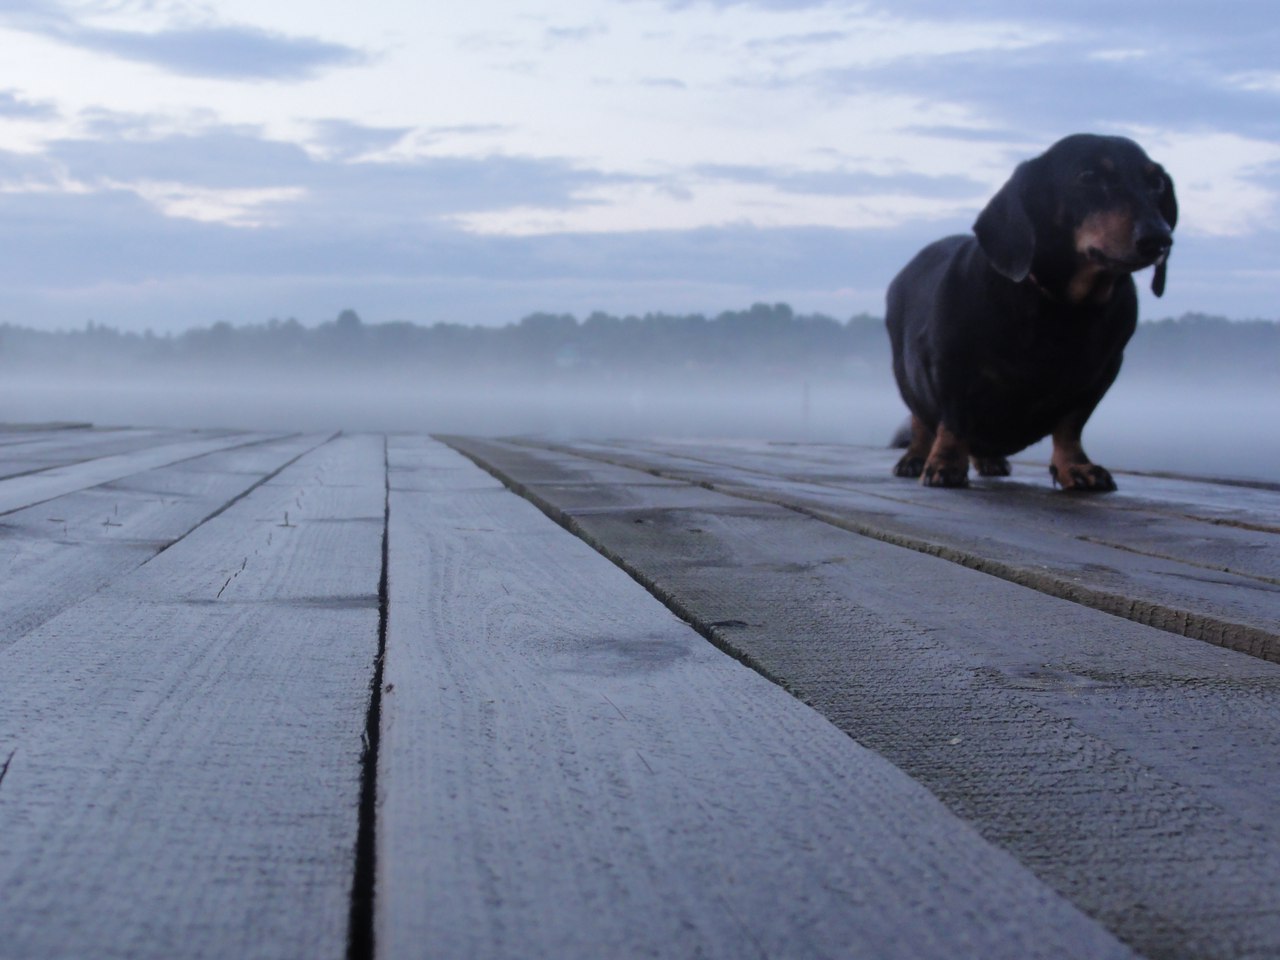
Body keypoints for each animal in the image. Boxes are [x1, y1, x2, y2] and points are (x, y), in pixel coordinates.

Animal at [885, 132, 1172, 491]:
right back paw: (915, 457)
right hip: (906, 376)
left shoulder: (1101, 374)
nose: (1159, 238)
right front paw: (945, 463)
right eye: (1088, 176)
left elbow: (1070, 425)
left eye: (1156, 183)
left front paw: (1076, 466)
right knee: (921, 422)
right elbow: (953, 420)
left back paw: (989, 459)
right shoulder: (949, 364)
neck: (1062, 306)